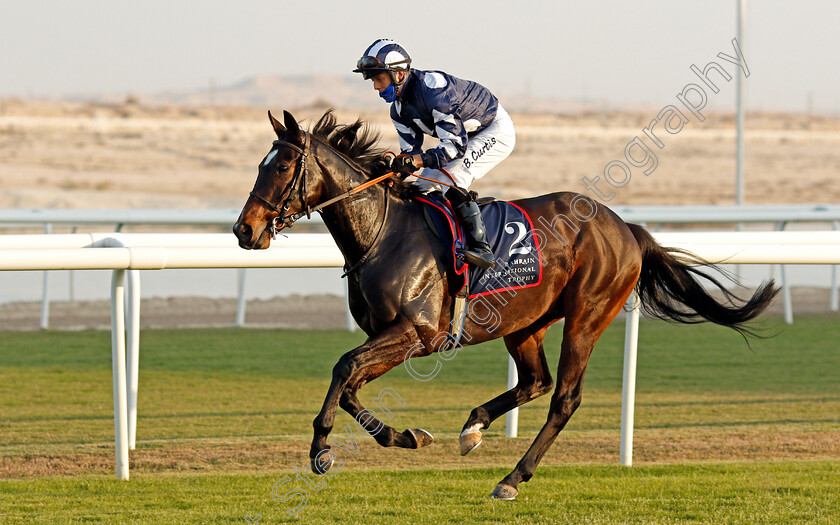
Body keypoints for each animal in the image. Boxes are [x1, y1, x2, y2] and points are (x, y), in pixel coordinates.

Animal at [233, 108, 776, 498]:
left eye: (283, 165)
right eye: (259, 164)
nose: (244, 230)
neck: (383, 233)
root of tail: (625, 228)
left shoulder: (416, 333)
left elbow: (343, 368)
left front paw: (320, 451)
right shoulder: (386, 336)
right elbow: (349, 387)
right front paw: (406, 436)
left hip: (586, 317)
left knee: (564, 397)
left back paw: (513, 478)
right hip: (525, 323)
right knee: (536, 381)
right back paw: (473, 427)